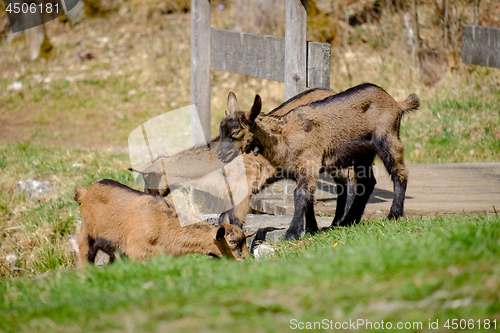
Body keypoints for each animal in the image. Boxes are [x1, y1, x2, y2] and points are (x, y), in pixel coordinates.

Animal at [73, 178, 254, 266]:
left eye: (245, 241)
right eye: (232, 242)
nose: (246, 260)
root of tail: (85, 193)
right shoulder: (137, 253)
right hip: (87, 234)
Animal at [218, 83, 418, 239]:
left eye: (235, 133)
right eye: (221, 131)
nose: (220, 153)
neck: (284, 136)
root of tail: (396, 103)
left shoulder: (309, 162)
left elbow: (300, 195)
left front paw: (291, 233)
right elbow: (308, 199)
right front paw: (310, 229)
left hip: (388, 137)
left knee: (399, 172)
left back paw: (393, 215)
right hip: (362, 154)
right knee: (367, 182)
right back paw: (347, 221)